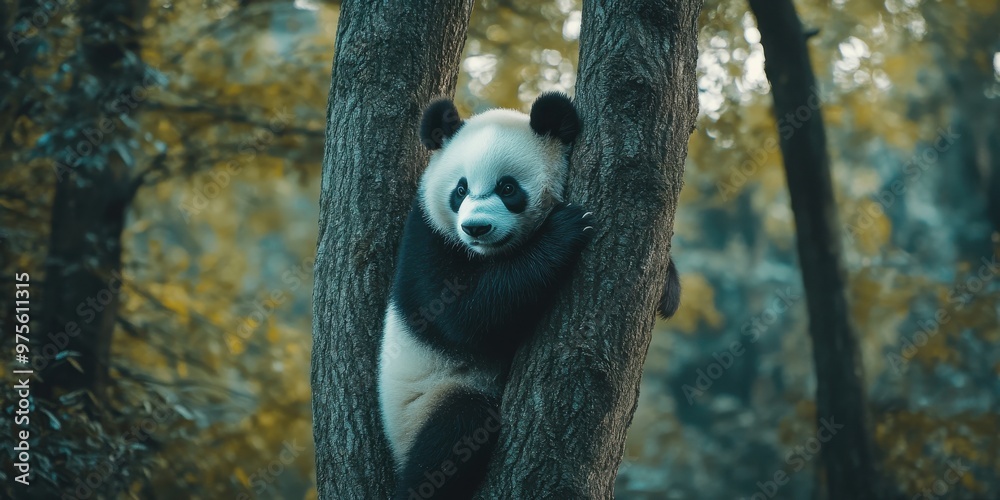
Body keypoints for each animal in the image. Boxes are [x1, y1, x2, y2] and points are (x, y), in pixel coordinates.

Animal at [378, 92, 681, 500]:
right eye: (460, 190)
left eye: (508, 188)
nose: (476, 228)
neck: (494, 255)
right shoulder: (428, 239)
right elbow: (463, 316)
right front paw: (565, 231)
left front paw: (667, 285)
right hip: (422, 400)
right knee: (456, 431)